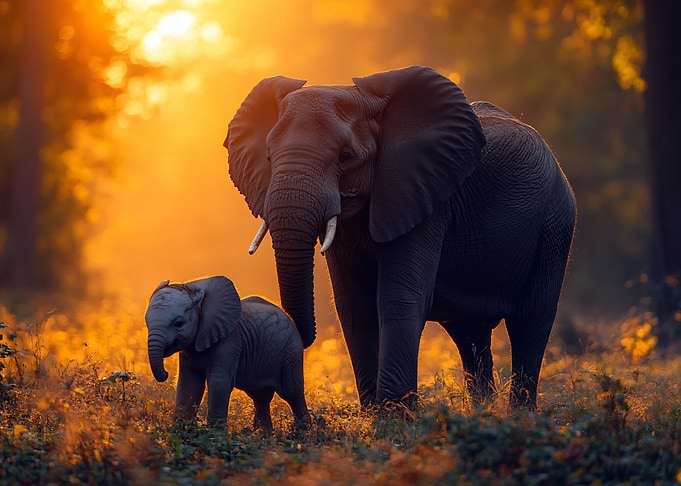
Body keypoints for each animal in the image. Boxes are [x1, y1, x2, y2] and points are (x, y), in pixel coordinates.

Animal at [145, 275, 310, 428]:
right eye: (146, 323)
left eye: (179, 323)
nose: (166, 373)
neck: (192, 288)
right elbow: (189, 384)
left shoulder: (229, 342)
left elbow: (218, 383)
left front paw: (214, 436)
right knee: (260, 397)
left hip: (291, 351)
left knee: (292, 392)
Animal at [224, 65, 576, 409]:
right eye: (269, 157)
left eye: (346, 157)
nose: (301, 338)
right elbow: (353, 305)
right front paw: (374, 414)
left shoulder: (424, 197)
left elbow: (397, 297)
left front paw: (397, 415)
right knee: (468, 331)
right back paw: (482, 411)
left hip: (555, 224)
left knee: (530, 320)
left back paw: (519, 415)